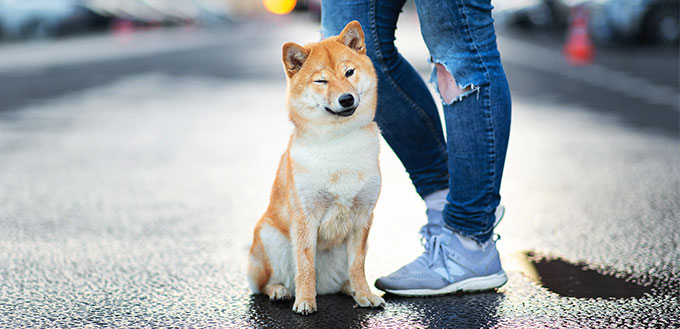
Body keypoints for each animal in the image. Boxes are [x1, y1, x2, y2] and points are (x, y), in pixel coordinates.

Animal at [247, 21, 386, 314]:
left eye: (349, 72)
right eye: (321, 80)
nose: (346, 99)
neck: (338, 141)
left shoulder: (363, 216)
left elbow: (358, 264)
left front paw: (364, 294)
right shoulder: (305, 217)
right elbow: (305, 264)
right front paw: (305, 301)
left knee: (345, 276)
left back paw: (350, 289)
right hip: (269, 238)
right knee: (263, 283)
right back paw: (280, 291)